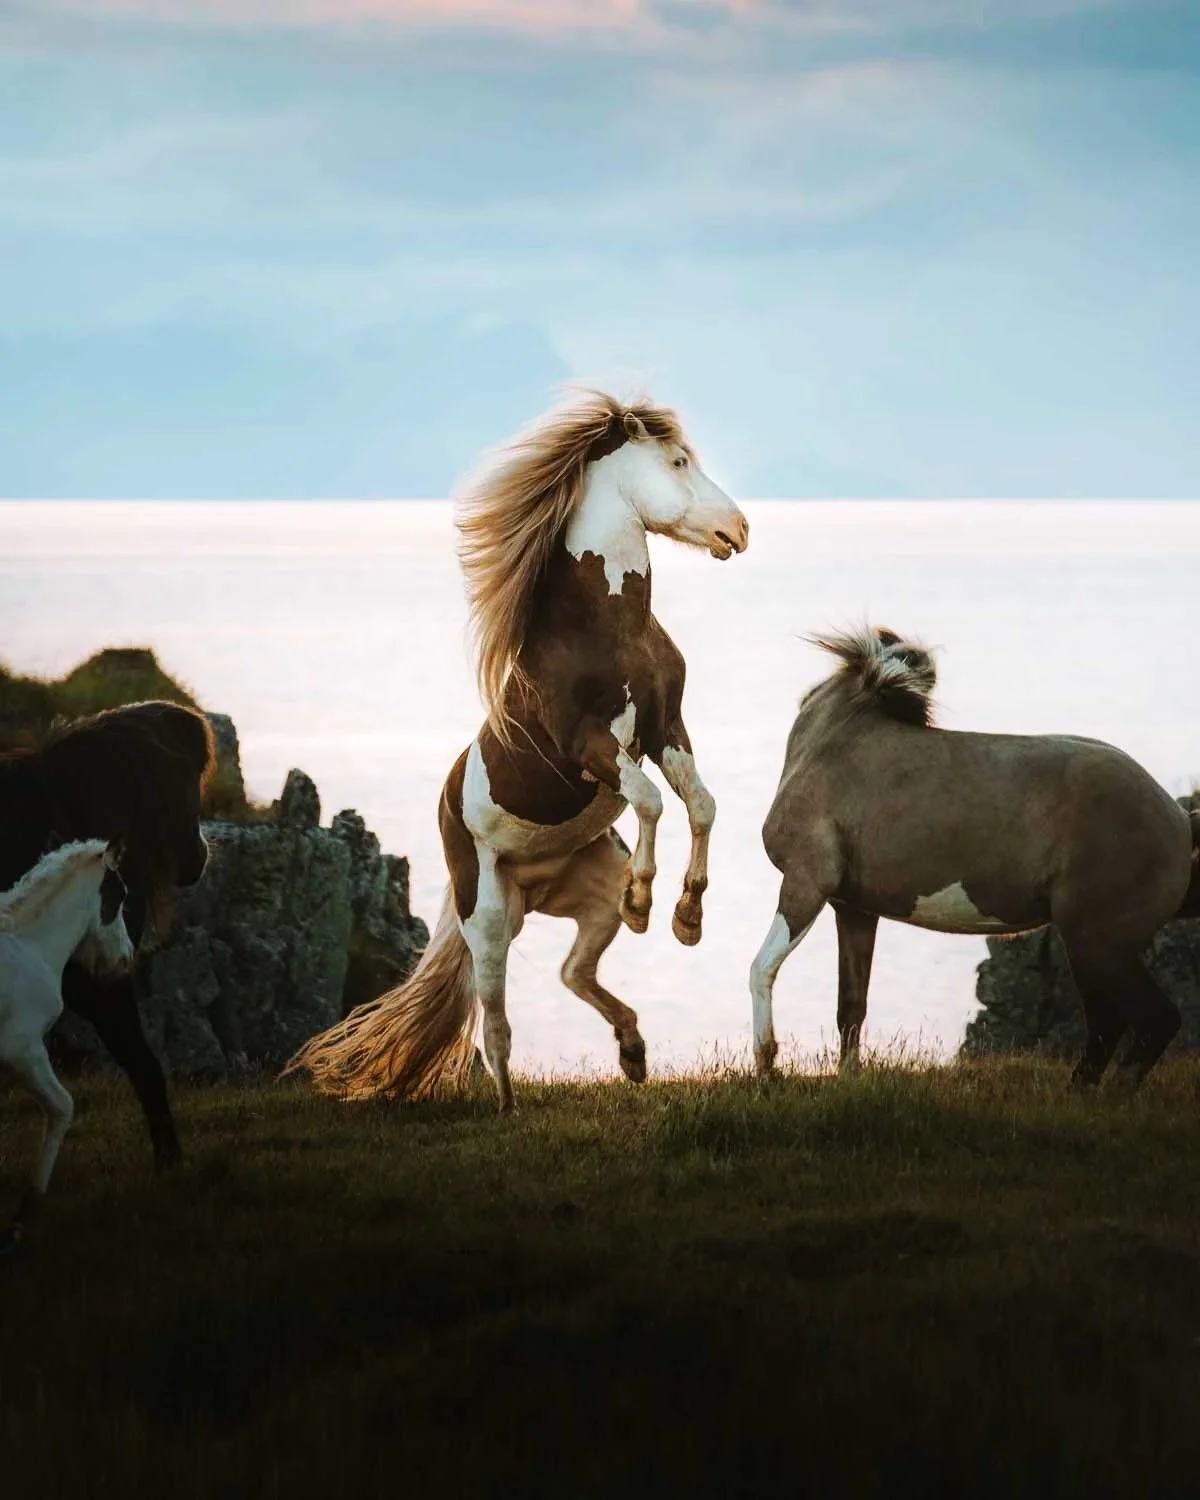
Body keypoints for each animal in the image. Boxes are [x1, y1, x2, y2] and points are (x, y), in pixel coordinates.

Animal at [0, 839, 135, 1251]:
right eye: (120, 895)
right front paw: (21, 1219)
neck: (30, 945)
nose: (126, 958)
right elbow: (63, 1107)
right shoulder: (23, 1050)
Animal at [285, 389, 749, 1111]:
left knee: (572, 971)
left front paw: (686, 916)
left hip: (587, 900)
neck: (608, 630)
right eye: (677, 462)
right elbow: (649, 800)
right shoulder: (586, 744)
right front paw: (647, 898)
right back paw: (507, 1103)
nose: (739, 530)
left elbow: (701, 805)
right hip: (490, 921)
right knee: (494, 1015)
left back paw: (633, 1050)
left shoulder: (666, 727)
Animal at [750, 626, 1200, 1089]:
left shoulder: (807, 882)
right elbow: (852, 1005)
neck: (830, 741)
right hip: (1096, 946)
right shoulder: (854, 909)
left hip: (1098, 942)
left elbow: (762, 968)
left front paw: (767, 1067)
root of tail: (1177, 819)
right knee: (1110, 1023)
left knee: (1152, 1018)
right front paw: (848, 1081)